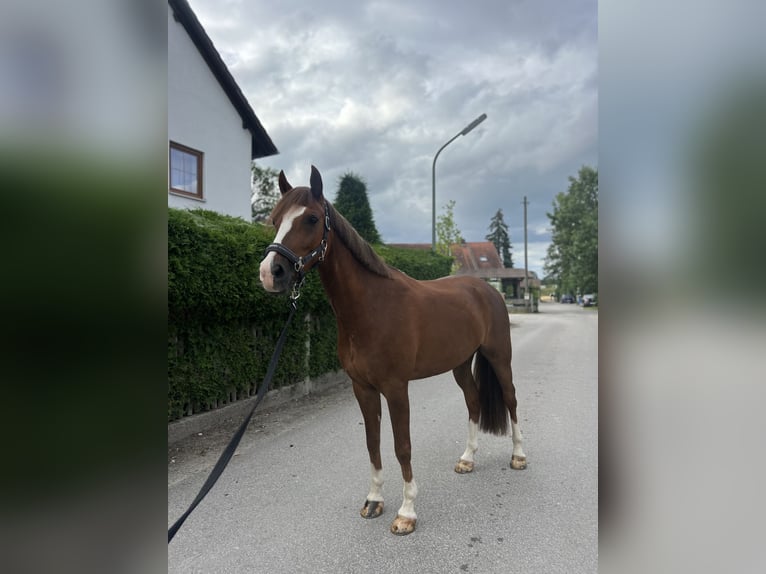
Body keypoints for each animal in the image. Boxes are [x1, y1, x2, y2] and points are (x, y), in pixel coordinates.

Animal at [258, 169, 528, 536]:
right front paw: (374, 501)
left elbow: (402, 446)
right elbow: (373, 443)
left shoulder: (397, 388)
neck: (372, 307)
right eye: (275, 220)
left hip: (500, 357)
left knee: (511, 400)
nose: (270, 273)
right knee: (473, 402)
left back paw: (518, 456)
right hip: (460, 364)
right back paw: (467, 459)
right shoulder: (363, 388)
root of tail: (487, 290)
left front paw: (406, 512)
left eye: (311, 218)